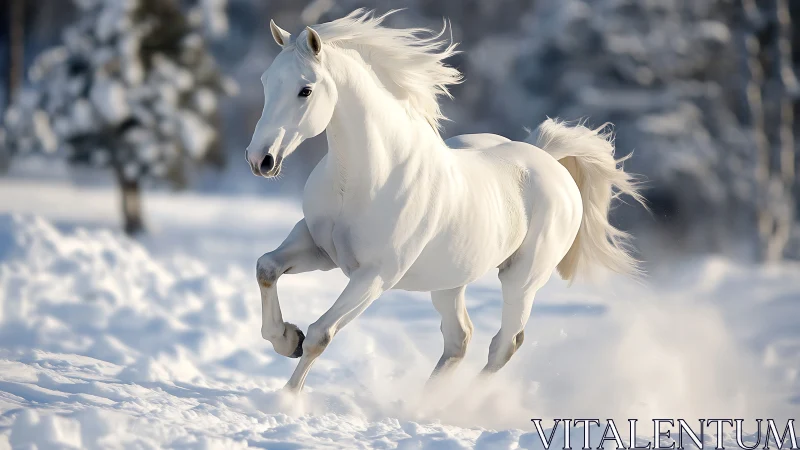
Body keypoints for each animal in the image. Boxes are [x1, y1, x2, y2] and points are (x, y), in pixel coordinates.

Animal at [245, 10, 643, 392]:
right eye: (264, 82)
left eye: (305, 90)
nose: (259, 159)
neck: (367, 178)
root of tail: (546, 158)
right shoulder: (319, 249)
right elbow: (266, 268)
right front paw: (286, 339)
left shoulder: (375, 275)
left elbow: (320, 335)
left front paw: (286, 400)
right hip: (449, 281)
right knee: (459, 340)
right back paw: (422, 404)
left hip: (522, 279)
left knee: (504, 344)